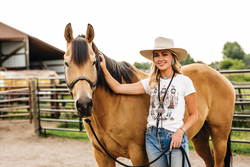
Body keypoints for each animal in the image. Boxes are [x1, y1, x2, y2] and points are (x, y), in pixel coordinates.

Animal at [63, 22, 235, 167]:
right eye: (66, 63)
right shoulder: (102, 156)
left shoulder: (139, 155)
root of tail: (223, 78)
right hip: (200, 136)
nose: (84, 105)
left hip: (220, 138)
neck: (114, 106)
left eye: (93, 62)